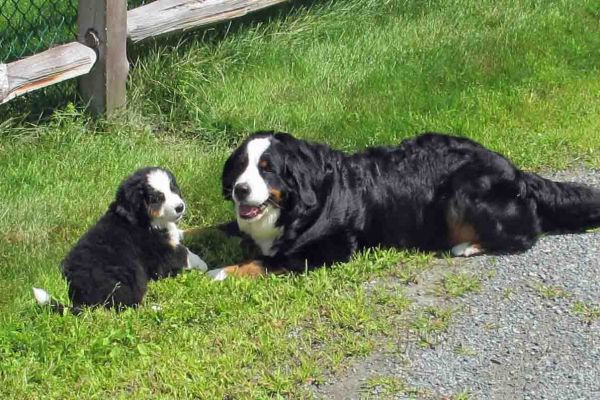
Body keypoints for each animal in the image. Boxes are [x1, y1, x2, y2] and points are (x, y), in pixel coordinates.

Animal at [32, 166, 207, 312]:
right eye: (157, 198)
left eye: (172, 188)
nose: (180, 207)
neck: (142, 219)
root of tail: (79, 300)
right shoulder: (162, 254)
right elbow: (186, 254)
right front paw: (203, 265)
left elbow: (185, 234)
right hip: (129, 277)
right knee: (126, 306)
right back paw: (156, 308)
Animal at [207, 132, 600, 282]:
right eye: (240, 167)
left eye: (267, 169)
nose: (241, 190)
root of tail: (515, 170)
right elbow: (212, 229)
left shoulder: (325, 250)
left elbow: (264, 261)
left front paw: (221, 272)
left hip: (465, 190)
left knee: (525, 233)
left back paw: (467, 245)